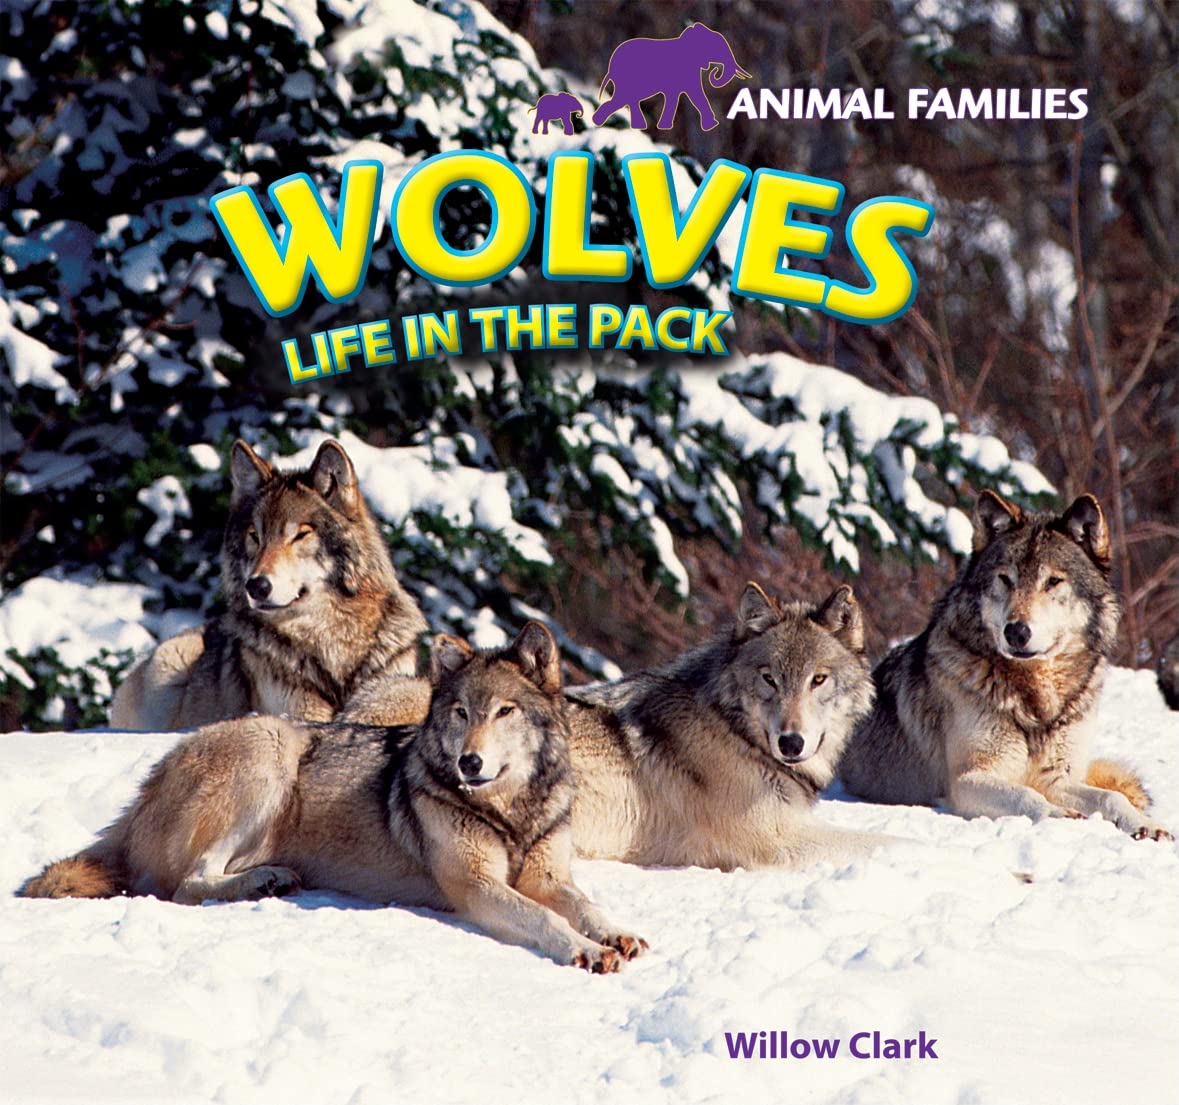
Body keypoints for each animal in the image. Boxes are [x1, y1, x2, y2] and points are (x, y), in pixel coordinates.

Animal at [24, 623, 646, 973]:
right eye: (461, 713)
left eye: (504, 712)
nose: (469, 763)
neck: (511, 810)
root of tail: (144, 790)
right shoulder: (475, 886)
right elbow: (544, 918)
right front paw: (587, 952)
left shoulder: (548, 875)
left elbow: (584, 904)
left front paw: (616, 933)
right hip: (270, 750)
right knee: (187, 885)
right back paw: (262, 881)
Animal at [564, 582, 886, 869]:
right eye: (769, 679)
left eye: (818, 679)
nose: (791, 743)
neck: (734, 731)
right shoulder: (780, 840)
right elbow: (888, 841)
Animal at [839, 490, 1171, 841]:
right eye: (1005, 579)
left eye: (1053, 581)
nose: (1016, 631)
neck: (1036, 699)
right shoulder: (967, 780)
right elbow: (1027, 795)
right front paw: (1060, 816)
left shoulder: (1058, 779)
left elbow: (1112, 797)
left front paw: (1146, 824)